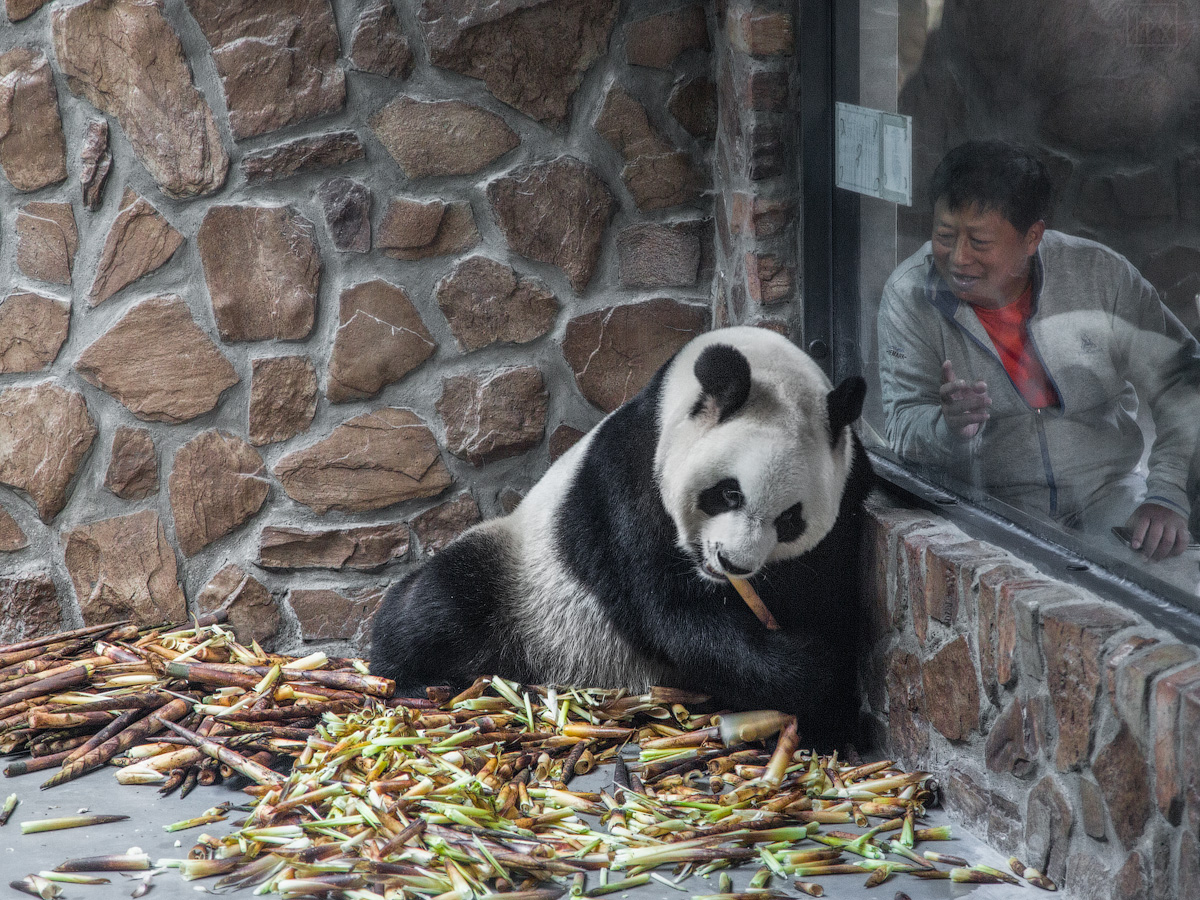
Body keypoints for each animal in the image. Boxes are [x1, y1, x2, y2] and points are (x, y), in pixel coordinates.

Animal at [369, 328, 878, 748]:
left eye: (790, 519)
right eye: (728, 493)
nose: (733, 563)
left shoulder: (847, 499)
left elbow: (830, 596)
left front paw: (832, 716)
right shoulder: (629, 479)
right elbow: (672, 613)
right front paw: (808, 668)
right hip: (519, 575)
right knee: (441, 600)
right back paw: (407, 678)